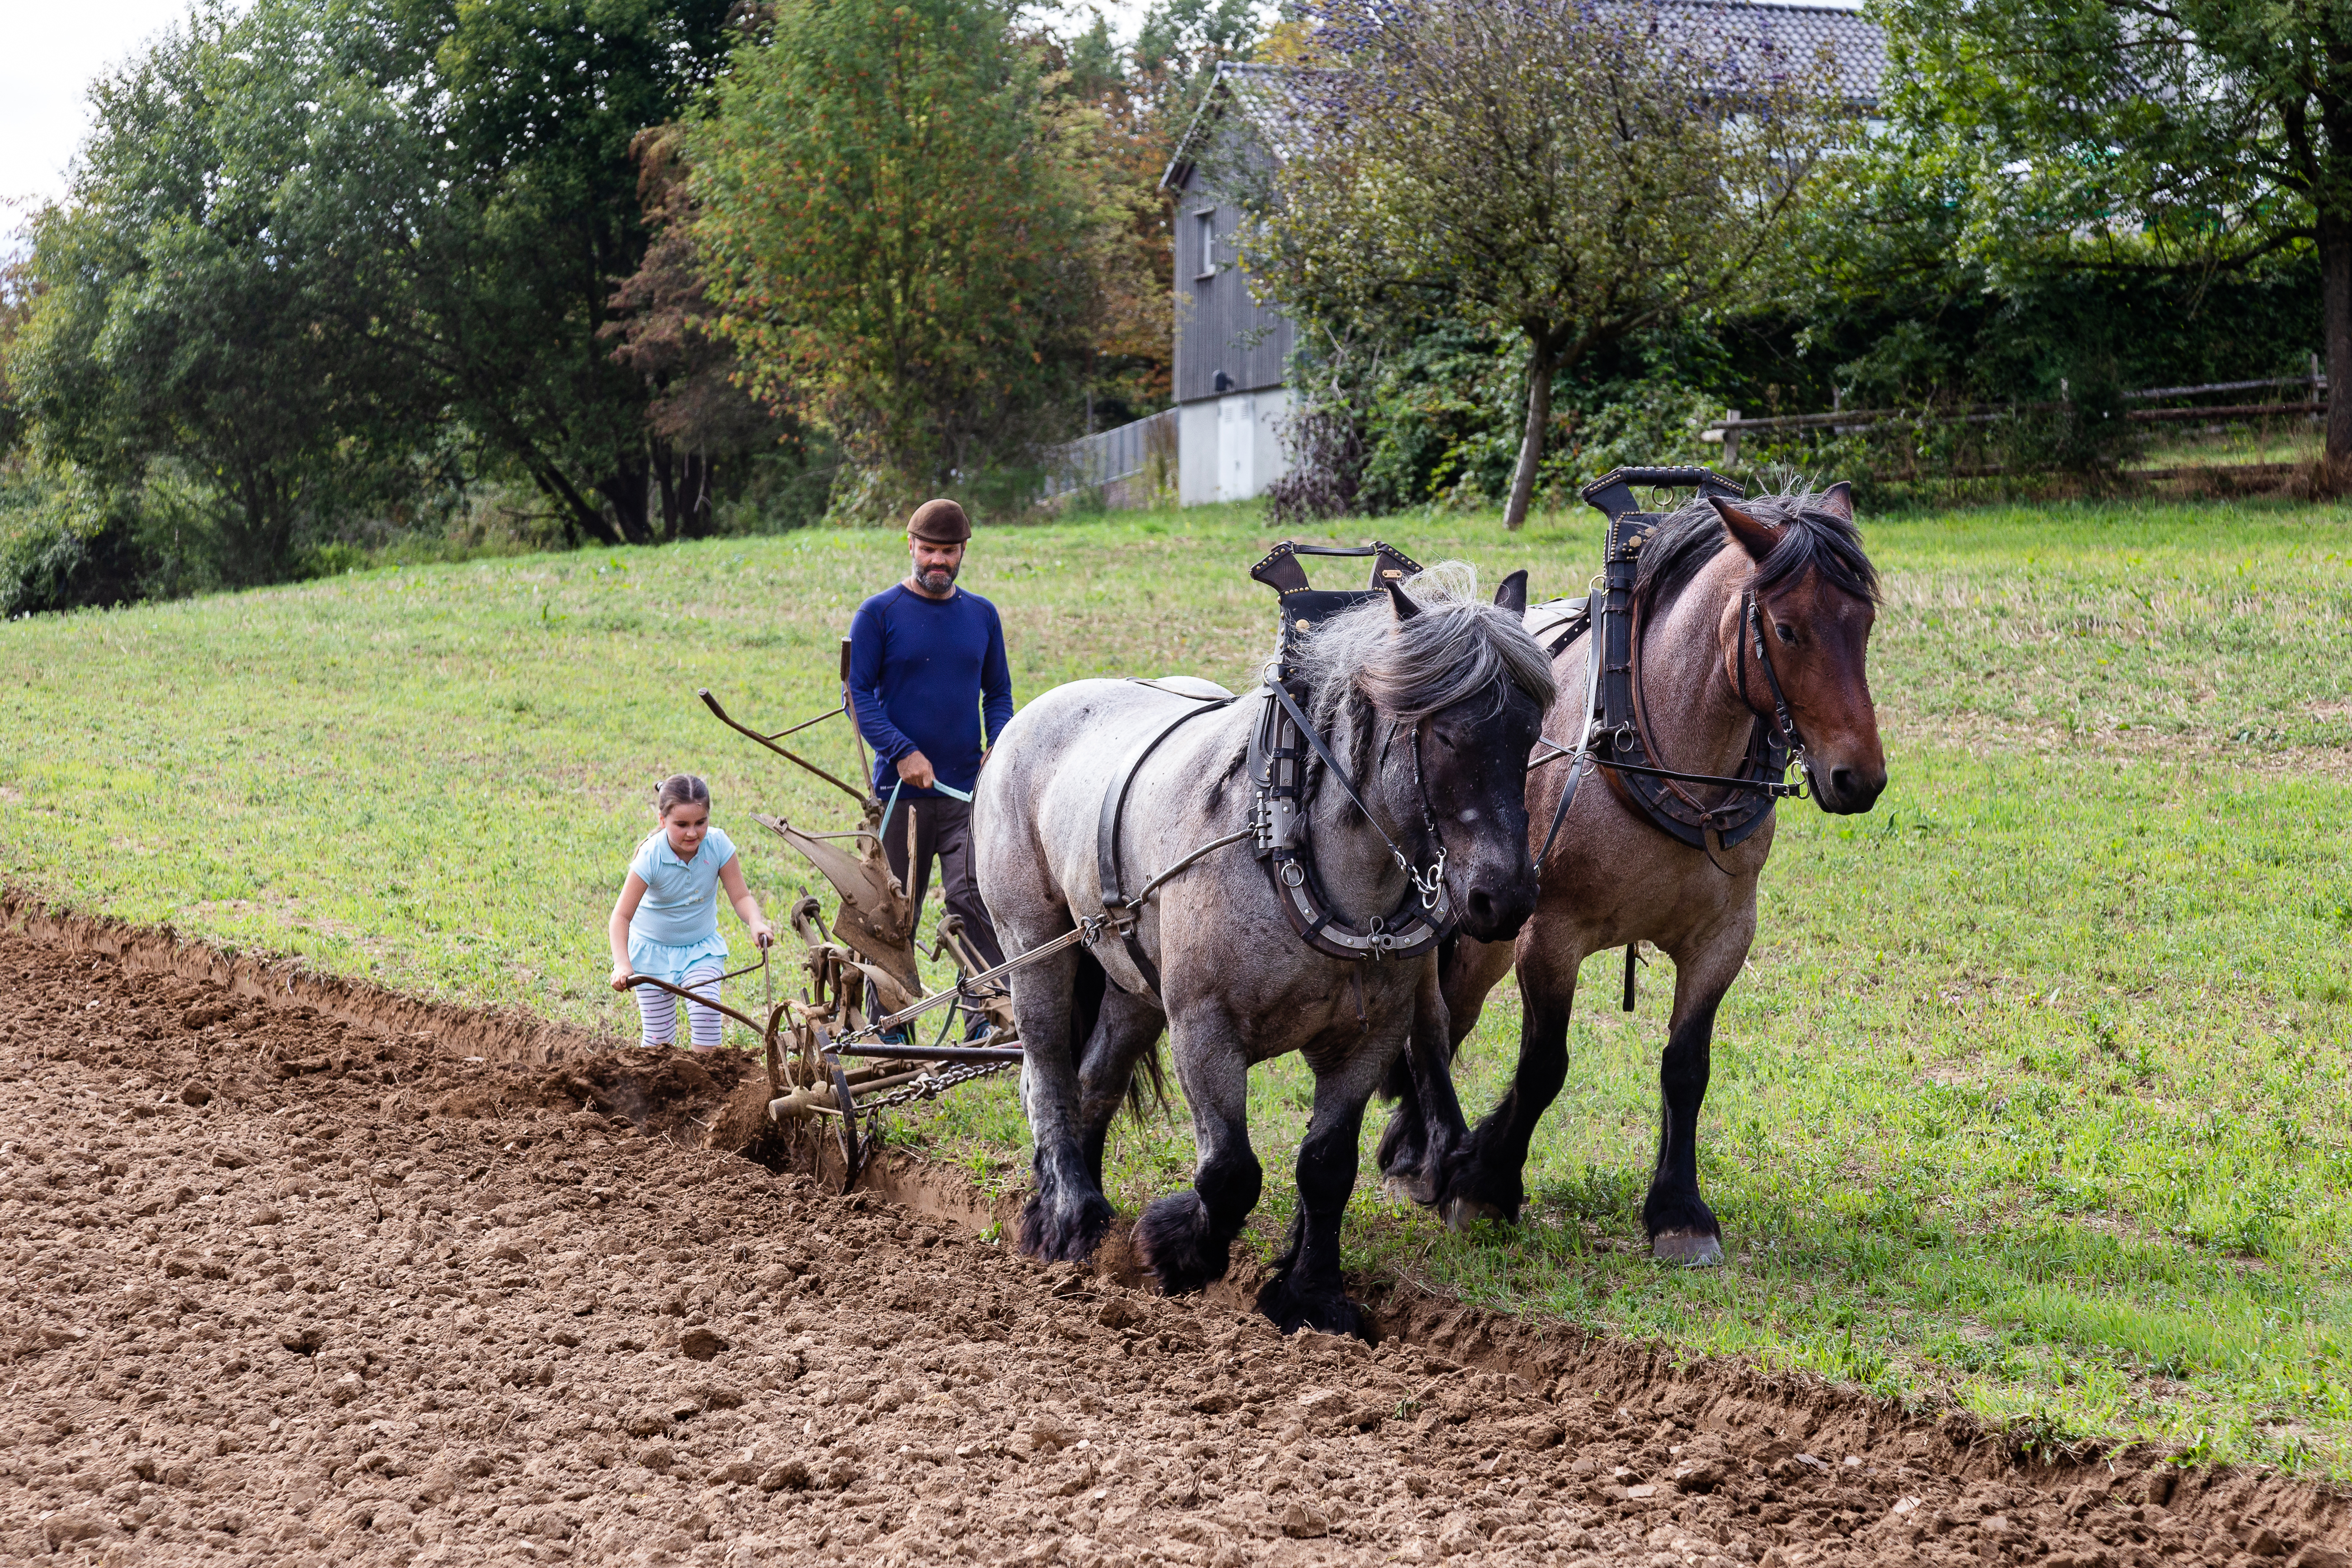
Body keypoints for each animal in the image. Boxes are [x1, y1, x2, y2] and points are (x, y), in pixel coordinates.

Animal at [978, 564, 1561, 1335]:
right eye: (1445, 733)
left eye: (1527, 732)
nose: (1506, 897)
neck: (1288, 845)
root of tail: (1031, 715)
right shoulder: (1204, 1030)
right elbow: (1229, 1172)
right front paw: (1177, 1249)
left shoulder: (1368, 1038)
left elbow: (1326, 1166)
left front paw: (1312, 1294)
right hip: (1035, 945)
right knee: (1046, 1076)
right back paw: (1069, 1217)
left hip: (1132, 981)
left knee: (1093, 1080)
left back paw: (1076, 1204)